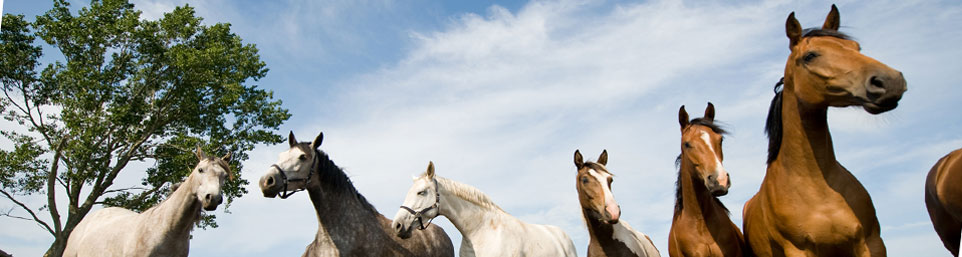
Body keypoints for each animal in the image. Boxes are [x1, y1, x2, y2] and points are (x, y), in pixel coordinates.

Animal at [740, 4, 904, 256]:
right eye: (810, 56)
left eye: (856, 48)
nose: (889, 81)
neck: (817, 186)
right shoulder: (797, 249)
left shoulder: (871, 243)